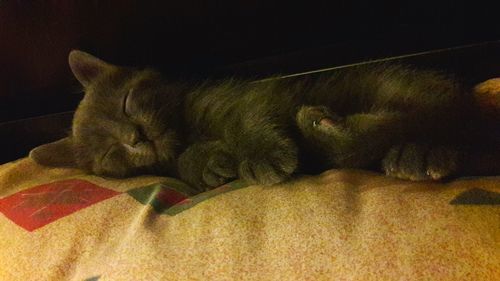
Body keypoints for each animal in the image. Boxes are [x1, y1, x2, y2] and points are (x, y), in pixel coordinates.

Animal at [30, 49, 496, 190]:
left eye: (127, 103)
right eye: (111, 153)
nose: (136, 137)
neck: (187, 128)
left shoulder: (251, 96)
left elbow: (250, 120)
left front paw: (262, 156)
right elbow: (183, 163)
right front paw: (208, 166)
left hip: (395, 85)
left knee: (434, 114)